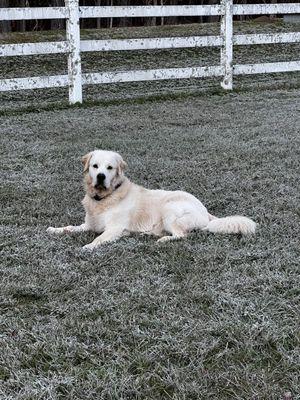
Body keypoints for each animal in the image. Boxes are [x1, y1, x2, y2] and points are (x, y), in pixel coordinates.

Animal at [47, 150, 255, 250]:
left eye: (110, 168)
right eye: (95, 166)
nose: (100, 177)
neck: (105, 198)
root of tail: (205, 210)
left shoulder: (114, 228)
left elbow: (99, 238)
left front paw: (88, 247)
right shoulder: (89, 224)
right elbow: (69, 227)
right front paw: (54, 229)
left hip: (170, 209)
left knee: (182, 235)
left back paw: (162, 239)